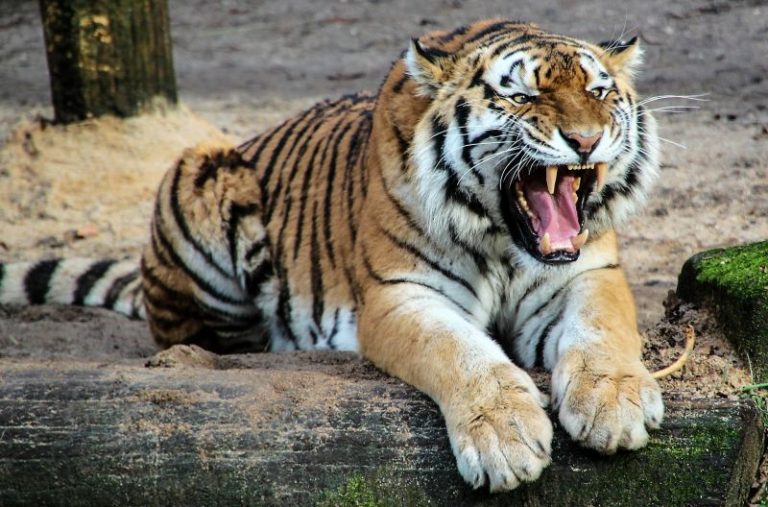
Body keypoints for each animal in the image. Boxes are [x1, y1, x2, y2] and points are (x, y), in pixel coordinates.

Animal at [0, 19, 663, 492]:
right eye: (522, 96)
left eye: (599, 92)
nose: (586, 140)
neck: (503, 241)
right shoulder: (399, 295)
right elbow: (461, 353)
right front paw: (505, 437)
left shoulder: (588, 273)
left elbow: (602, 330)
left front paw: (614, 404)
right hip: (199, 171)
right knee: (196, 337)